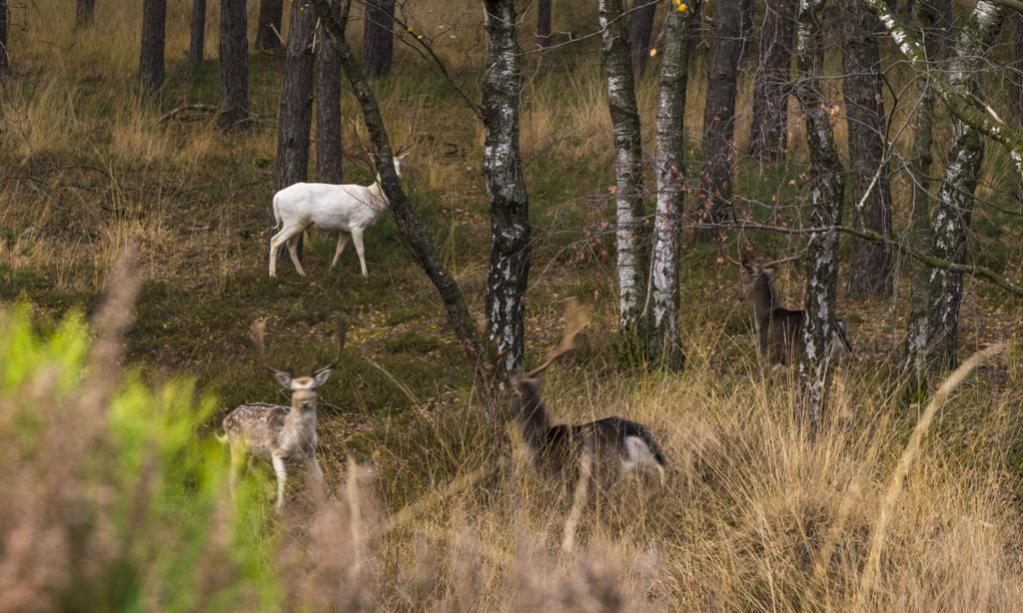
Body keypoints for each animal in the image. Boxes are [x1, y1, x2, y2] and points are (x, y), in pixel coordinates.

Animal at [218, 317, 346, 512]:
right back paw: (236, 507)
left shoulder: (311, 453)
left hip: (251, 451)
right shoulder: (276, 452)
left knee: (250, 467)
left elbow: (320, 479)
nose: (304, 403)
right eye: (292, 390)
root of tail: (226, 419)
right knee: (231, 476)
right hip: (237, 446)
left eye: (314, 388)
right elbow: (283, 480)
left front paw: (331, 503)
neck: (298, 442)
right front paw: (279, 508)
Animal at [267, 152, 409, 278]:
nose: (397, 176)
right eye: (381, 167)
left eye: (399, 165)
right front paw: (365, 274)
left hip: (299, 223)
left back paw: (302, 273)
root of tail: (277, 196)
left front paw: (331, 269)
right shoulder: (356, 224)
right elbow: (361, 250)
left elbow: (339, 249)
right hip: (293, 220)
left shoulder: (345, 229)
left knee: (290, 246)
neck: (371, 199)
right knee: (275, 240)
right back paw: (273, 274)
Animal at [494, 300, 667, 485]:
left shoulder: (555, 476)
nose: (498, 413)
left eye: (504, 395)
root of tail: (636, 436)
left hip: (614, 468)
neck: (539, 439)